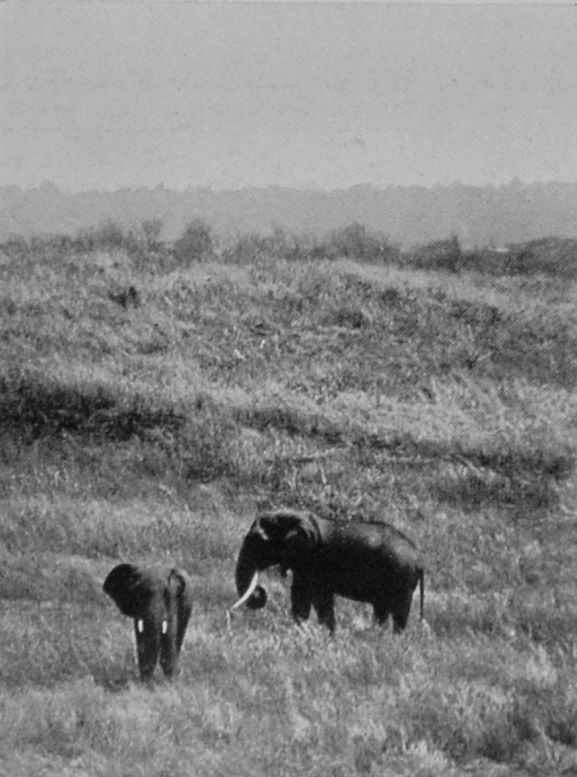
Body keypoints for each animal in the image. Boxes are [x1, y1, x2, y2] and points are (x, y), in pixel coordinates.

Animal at [230, 510, 424, 634]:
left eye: (259, 541)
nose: (260, 592)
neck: (300, 517)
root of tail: (419, 560)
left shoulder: (316, 561)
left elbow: (313, 598)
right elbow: (305, 598)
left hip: (402, 579)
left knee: (399, 614)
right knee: (381, 610)